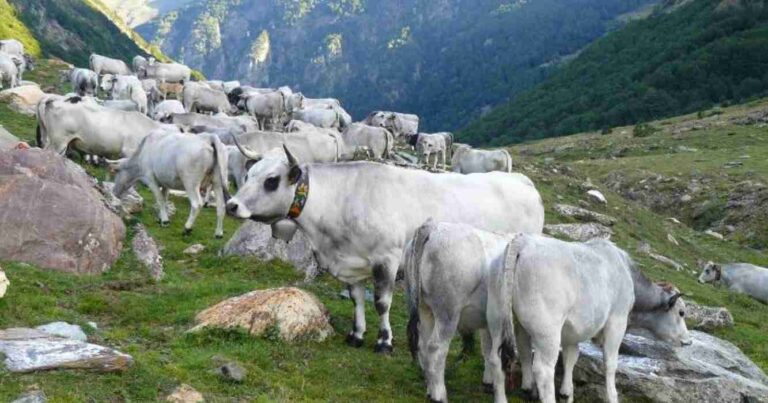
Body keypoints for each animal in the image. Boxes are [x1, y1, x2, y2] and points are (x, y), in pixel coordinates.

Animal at [225, 152, 544, 354]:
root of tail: (521, 180)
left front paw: (384, 341)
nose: (231, 205)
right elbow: (356, 299)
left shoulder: (387, 259)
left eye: (271, 180)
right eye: (248, 174)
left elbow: (381, 303)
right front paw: (356, 334)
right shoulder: (351, 263)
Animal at [488, 234, 692, 403]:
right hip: (547, 331)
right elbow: (610, 363)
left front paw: (566, 393)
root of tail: (523, 241)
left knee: (499, 358)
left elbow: (571, 357)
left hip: (498, 319)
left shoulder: (571, 332)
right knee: (543, 370)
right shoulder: (617, 322)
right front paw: (612, 396)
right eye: (681, 312)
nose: (688, 341)